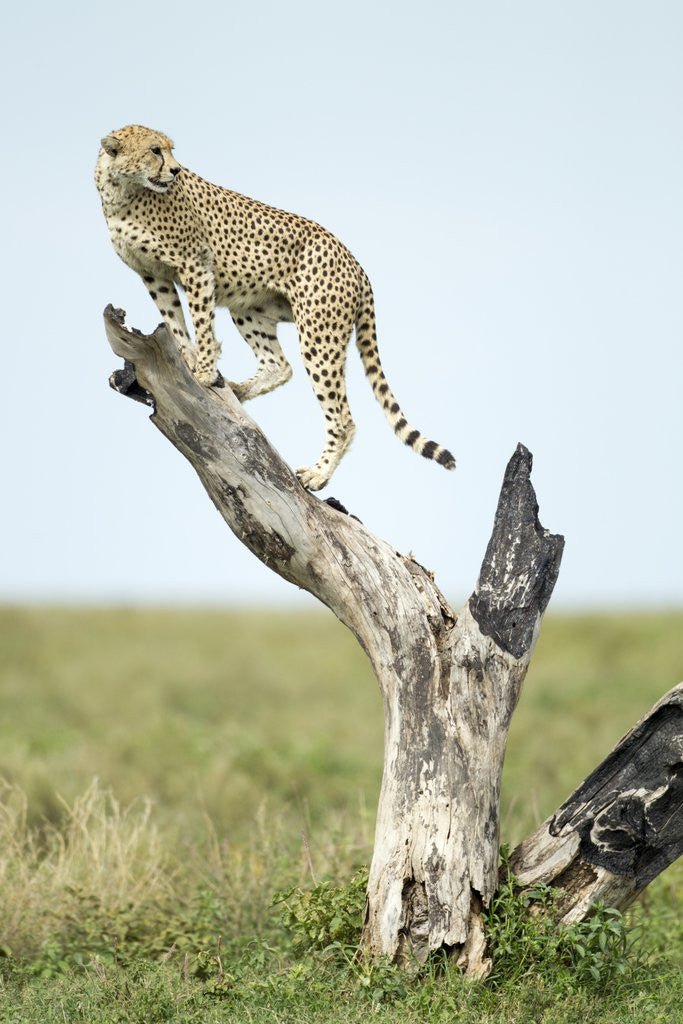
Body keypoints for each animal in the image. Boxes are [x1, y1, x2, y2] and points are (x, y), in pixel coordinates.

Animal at [95, 124, 455, 490]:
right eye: (155, 150)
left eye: (169, 150)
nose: (176, 170)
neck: (124, 191)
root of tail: (355, 262)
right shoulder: (153, 274)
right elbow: (174, 319)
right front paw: (189, 357)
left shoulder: (195, 263)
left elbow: (200, 320)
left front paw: (203, 371)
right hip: (248, 305)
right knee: (279, 364)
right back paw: (238, 388)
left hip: (318, 335)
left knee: (341, 417)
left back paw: (318, 473)